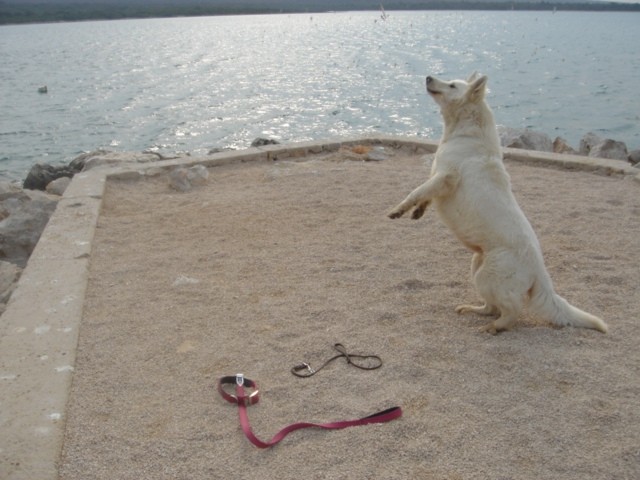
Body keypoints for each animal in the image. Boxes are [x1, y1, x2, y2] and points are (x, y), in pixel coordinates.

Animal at [388, 73, 608, 336]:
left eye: (452, 85)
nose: (428, 77)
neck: (464, 131)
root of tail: (540, 271)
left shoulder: (445, 177)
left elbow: (415, 191)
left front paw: (399, 210)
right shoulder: (438, 179)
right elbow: (425, 196)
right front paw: (418, 211)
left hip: (488, 275)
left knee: (512, 310)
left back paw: (494, 327)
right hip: (477, 265)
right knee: (491, 307)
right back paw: (475, 311)